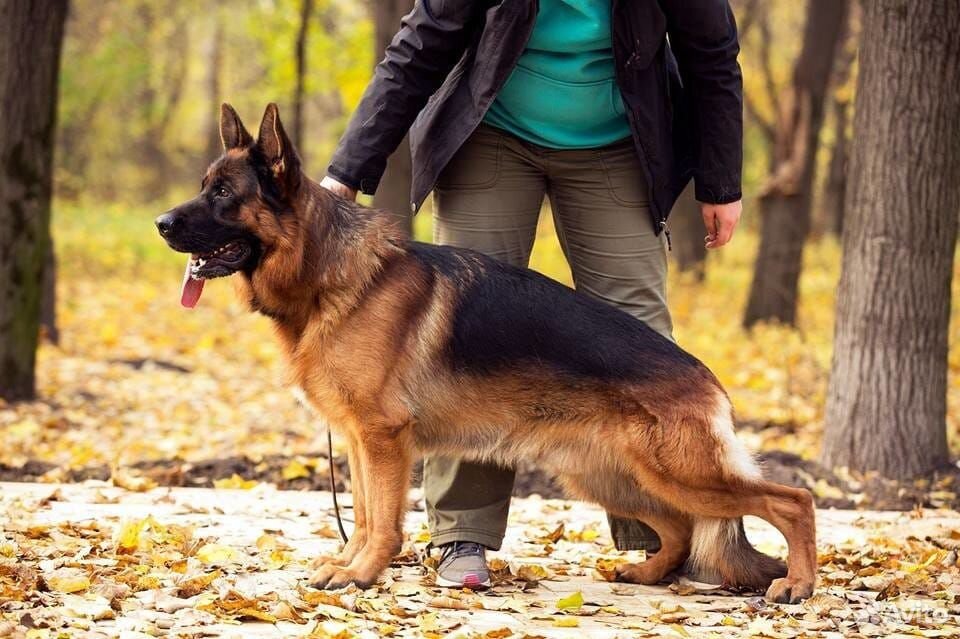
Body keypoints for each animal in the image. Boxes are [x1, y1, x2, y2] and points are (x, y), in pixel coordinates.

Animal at [158, 105, 816, 604]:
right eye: (204, 186)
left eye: (223, 194)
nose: (162, 223)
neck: (329, 271)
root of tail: (708, 379)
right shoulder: (358, 440)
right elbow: (365, 513)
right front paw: (347, 564)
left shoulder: (382, 439)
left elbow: (383, 521)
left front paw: (362, 574)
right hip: (606, 474)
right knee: (679, 528)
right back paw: (649, 572)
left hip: (679, 473)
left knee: (792, 501)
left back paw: (797, 584)